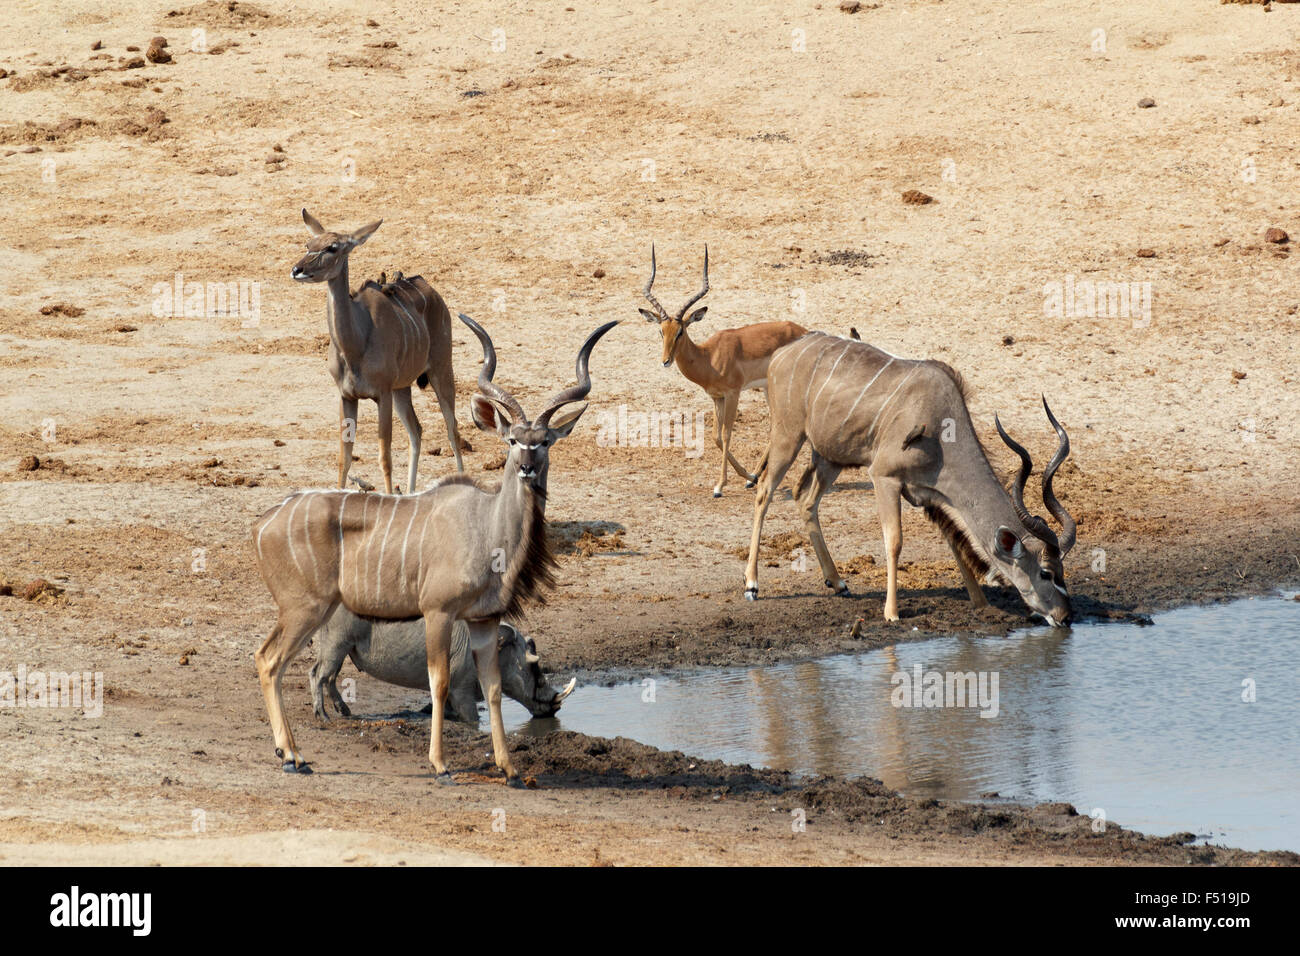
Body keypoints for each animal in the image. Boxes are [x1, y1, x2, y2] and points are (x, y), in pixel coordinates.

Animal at [256, 312, 621, 780]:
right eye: (512, 440)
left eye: (544, 441)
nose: (526, 468)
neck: (486, 527)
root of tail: (265, 522)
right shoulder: (438, 612)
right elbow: (439, 681)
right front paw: (440, 763)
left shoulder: (483, 621)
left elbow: (493, 688)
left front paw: (509, 768)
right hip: (305, 609)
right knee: (271, 661)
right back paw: (292, 756)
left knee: (270, 659)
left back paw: (290, 752)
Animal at [292, 208, 465, 494]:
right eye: (308, 244)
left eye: (332, 247)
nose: (298, 270)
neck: (355, 346)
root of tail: (433, 292)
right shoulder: (347, 397)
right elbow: (344, 458)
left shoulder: (381, 395)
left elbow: (385, 458)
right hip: (402, 389)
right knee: (416, 430)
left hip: (442, 369)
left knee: (453, 429)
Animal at [637, 247, 806, 496]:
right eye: (661, 331)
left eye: (680, 331)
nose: (665, 361)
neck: (708, 357)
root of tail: (804, 331)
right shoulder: (716, 397)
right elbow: (716, 437)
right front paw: (748, 476)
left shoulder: (733, 393)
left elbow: (726, 434)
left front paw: (719, 486)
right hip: (769, 387)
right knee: (776, 423)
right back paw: (755, 476)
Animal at [743, 332, 1076, 624]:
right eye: (1046, 573)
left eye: (1062, 570)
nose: (1065, 616)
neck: (942, 431)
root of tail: (781, 355)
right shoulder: (884, 478)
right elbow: (894, 541)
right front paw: (891, 612)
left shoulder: (931, 497)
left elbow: (955, 541)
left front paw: (979, 601)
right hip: (787, 436)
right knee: (764, 492)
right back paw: (752, 585)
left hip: (829, 458)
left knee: (805, 498)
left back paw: (837, 582)